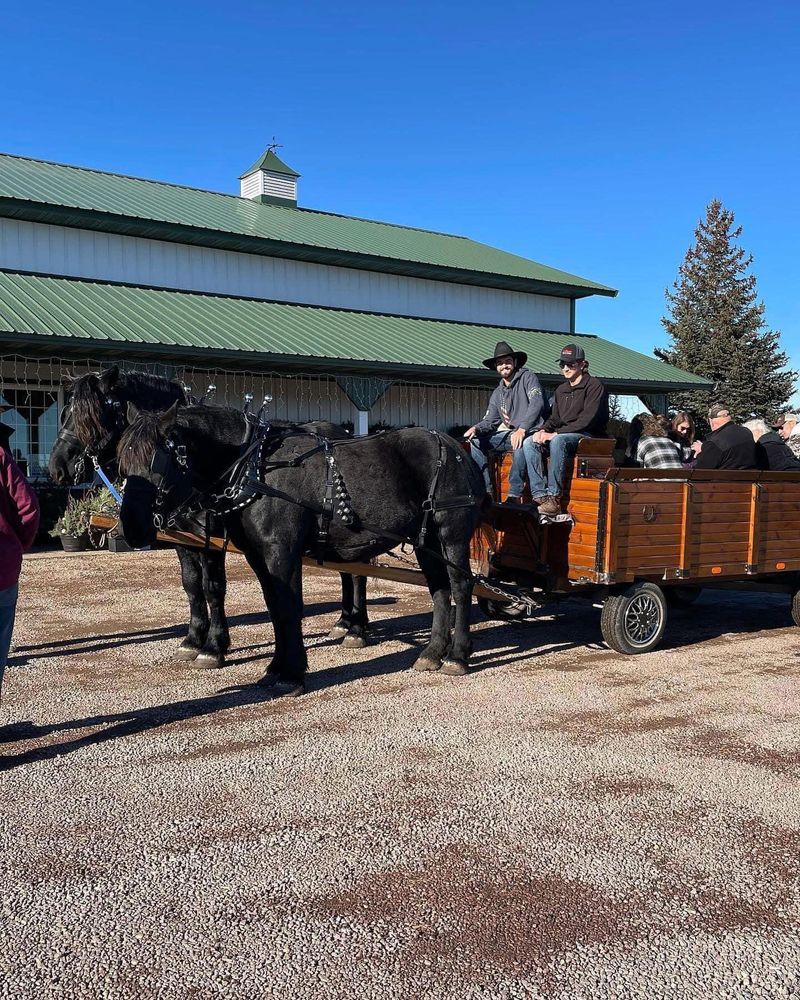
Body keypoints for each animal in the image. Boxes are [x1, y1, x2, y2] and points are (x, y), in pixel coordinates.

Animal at [48, 368, 374, 664]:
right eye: (64, 413)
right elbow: (192, 585)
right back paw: (344, 622)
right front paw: (192, 639)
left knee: (358, 572)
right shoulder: (182, 537)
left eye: (90, 417)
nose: (57, 467)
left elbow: (213, 587)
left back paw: (356, 629)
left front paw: (214, 646)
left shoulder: (213, 537)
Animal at [115, 398, 484, 696]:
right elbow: (275, 609)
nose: (131, 528)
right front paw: (276, 668)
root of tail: (452, 444)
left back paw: (456, 655)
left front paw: (291, 674)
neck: (255, 468)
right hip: (426, 540)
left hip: (450, 534)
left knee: (460, 586)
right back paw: (432, 652)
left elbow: (289, 608)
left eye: (158, 461)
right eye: (122, 462)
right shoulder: (258, 556)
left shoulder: (282, 553)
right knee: (439, 589)